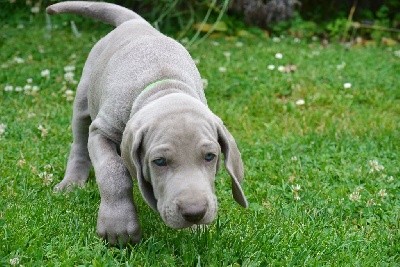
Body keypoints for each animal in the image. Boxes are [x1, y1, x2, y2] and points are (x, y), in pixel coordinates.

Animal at [46, 1, 247, 246]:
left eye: (210, 157)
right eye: (159, 162)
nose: (194, 213)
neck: (162, 87)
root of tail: (135, 22)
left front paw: (196, 229)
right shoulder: (101, 131)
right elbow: (113, 171)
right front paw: (118, 225)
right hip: (84, 96)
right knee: (79, 141)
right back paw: (72, 182)